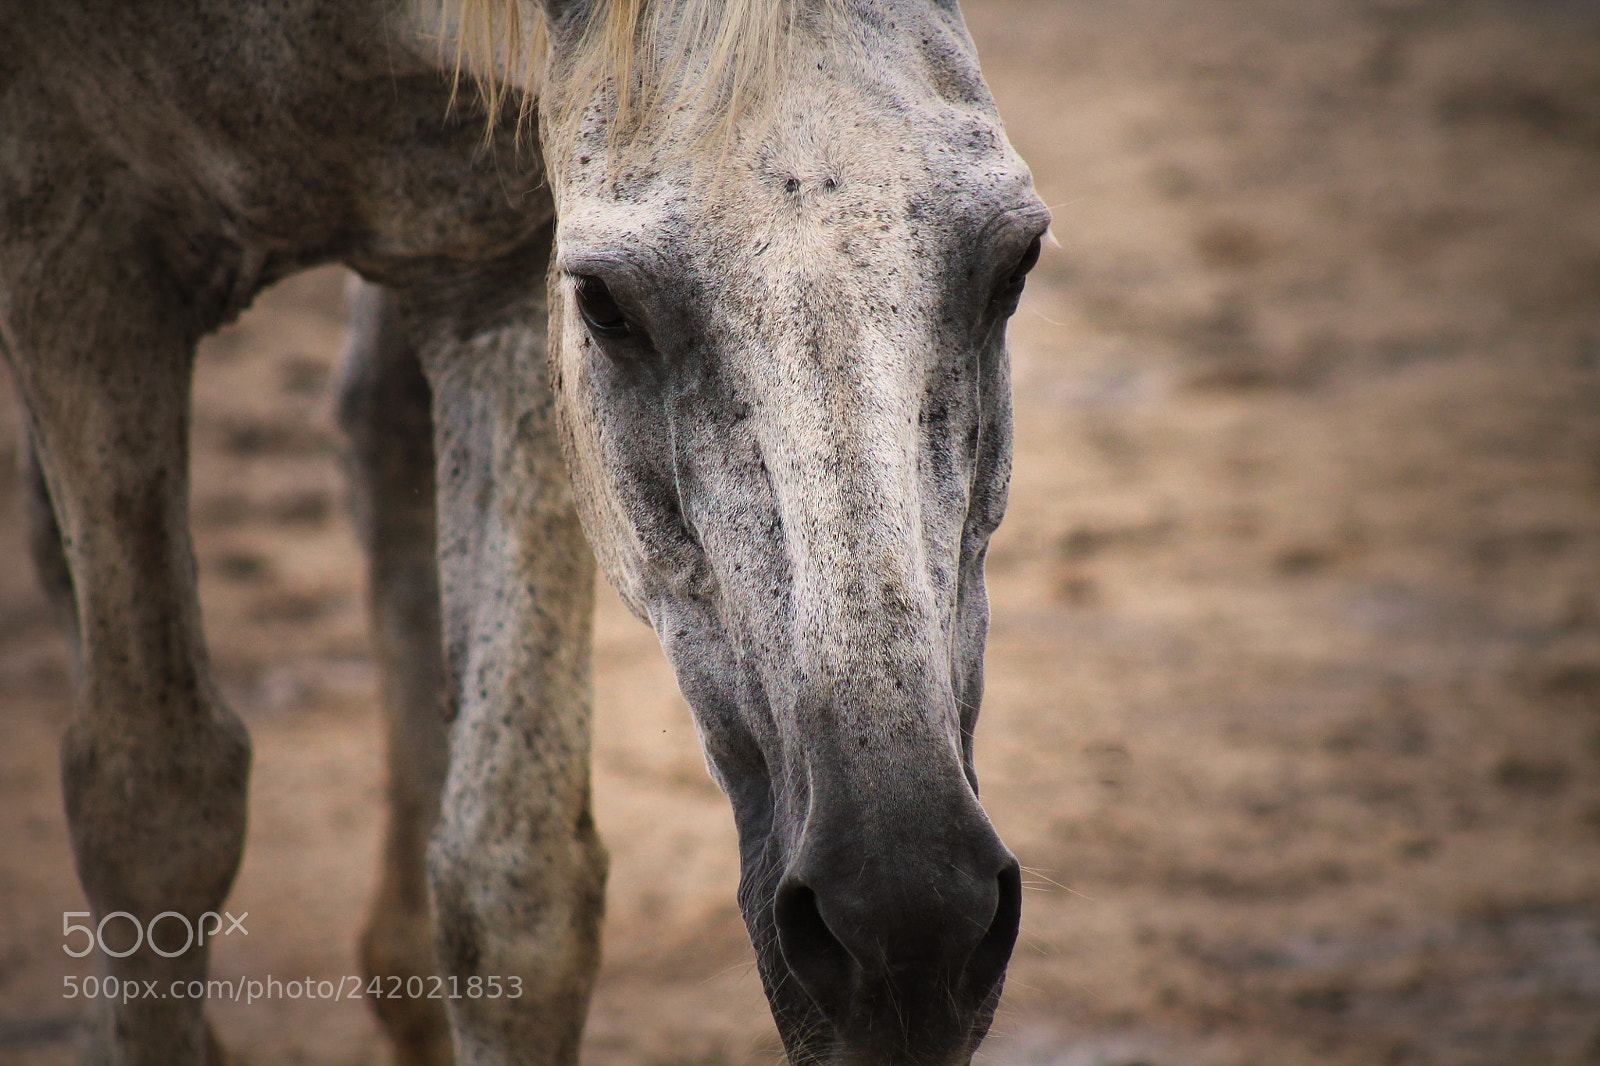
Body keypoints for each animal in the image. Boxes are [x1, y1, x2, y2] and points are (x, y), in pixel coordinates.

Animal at [0, 0, 1049, 1062]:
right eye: (605, 305)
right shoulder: (79, 260)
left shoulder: (492, 269)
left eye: (1016, 264)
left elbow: (513, 887)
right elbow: (156, 819)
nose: (908, 924)